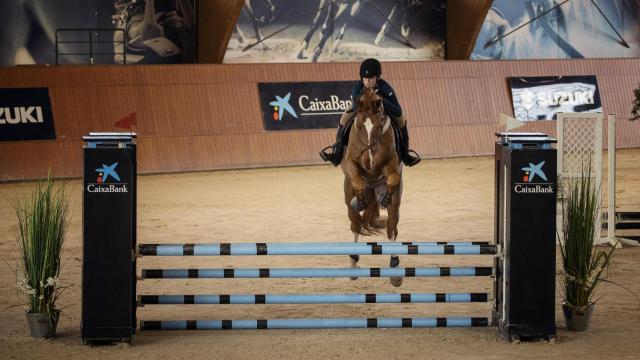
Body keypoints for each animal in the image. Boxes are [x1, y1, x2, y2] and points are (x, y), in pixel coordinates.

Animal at [340, 86, 404, 286]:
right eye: (360, 126)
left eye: (378, 126)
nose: (369, 162)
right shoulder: (352, 164)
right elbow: (357, 178)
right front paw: (359, 201)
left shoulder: (392, 164)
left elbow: (392, 177)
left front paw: (386, 198)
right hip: (348, 199)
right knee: (355, 225)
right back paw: (353, 265)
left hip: (394, 207)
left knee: (392, 229)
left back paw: (395, 270)